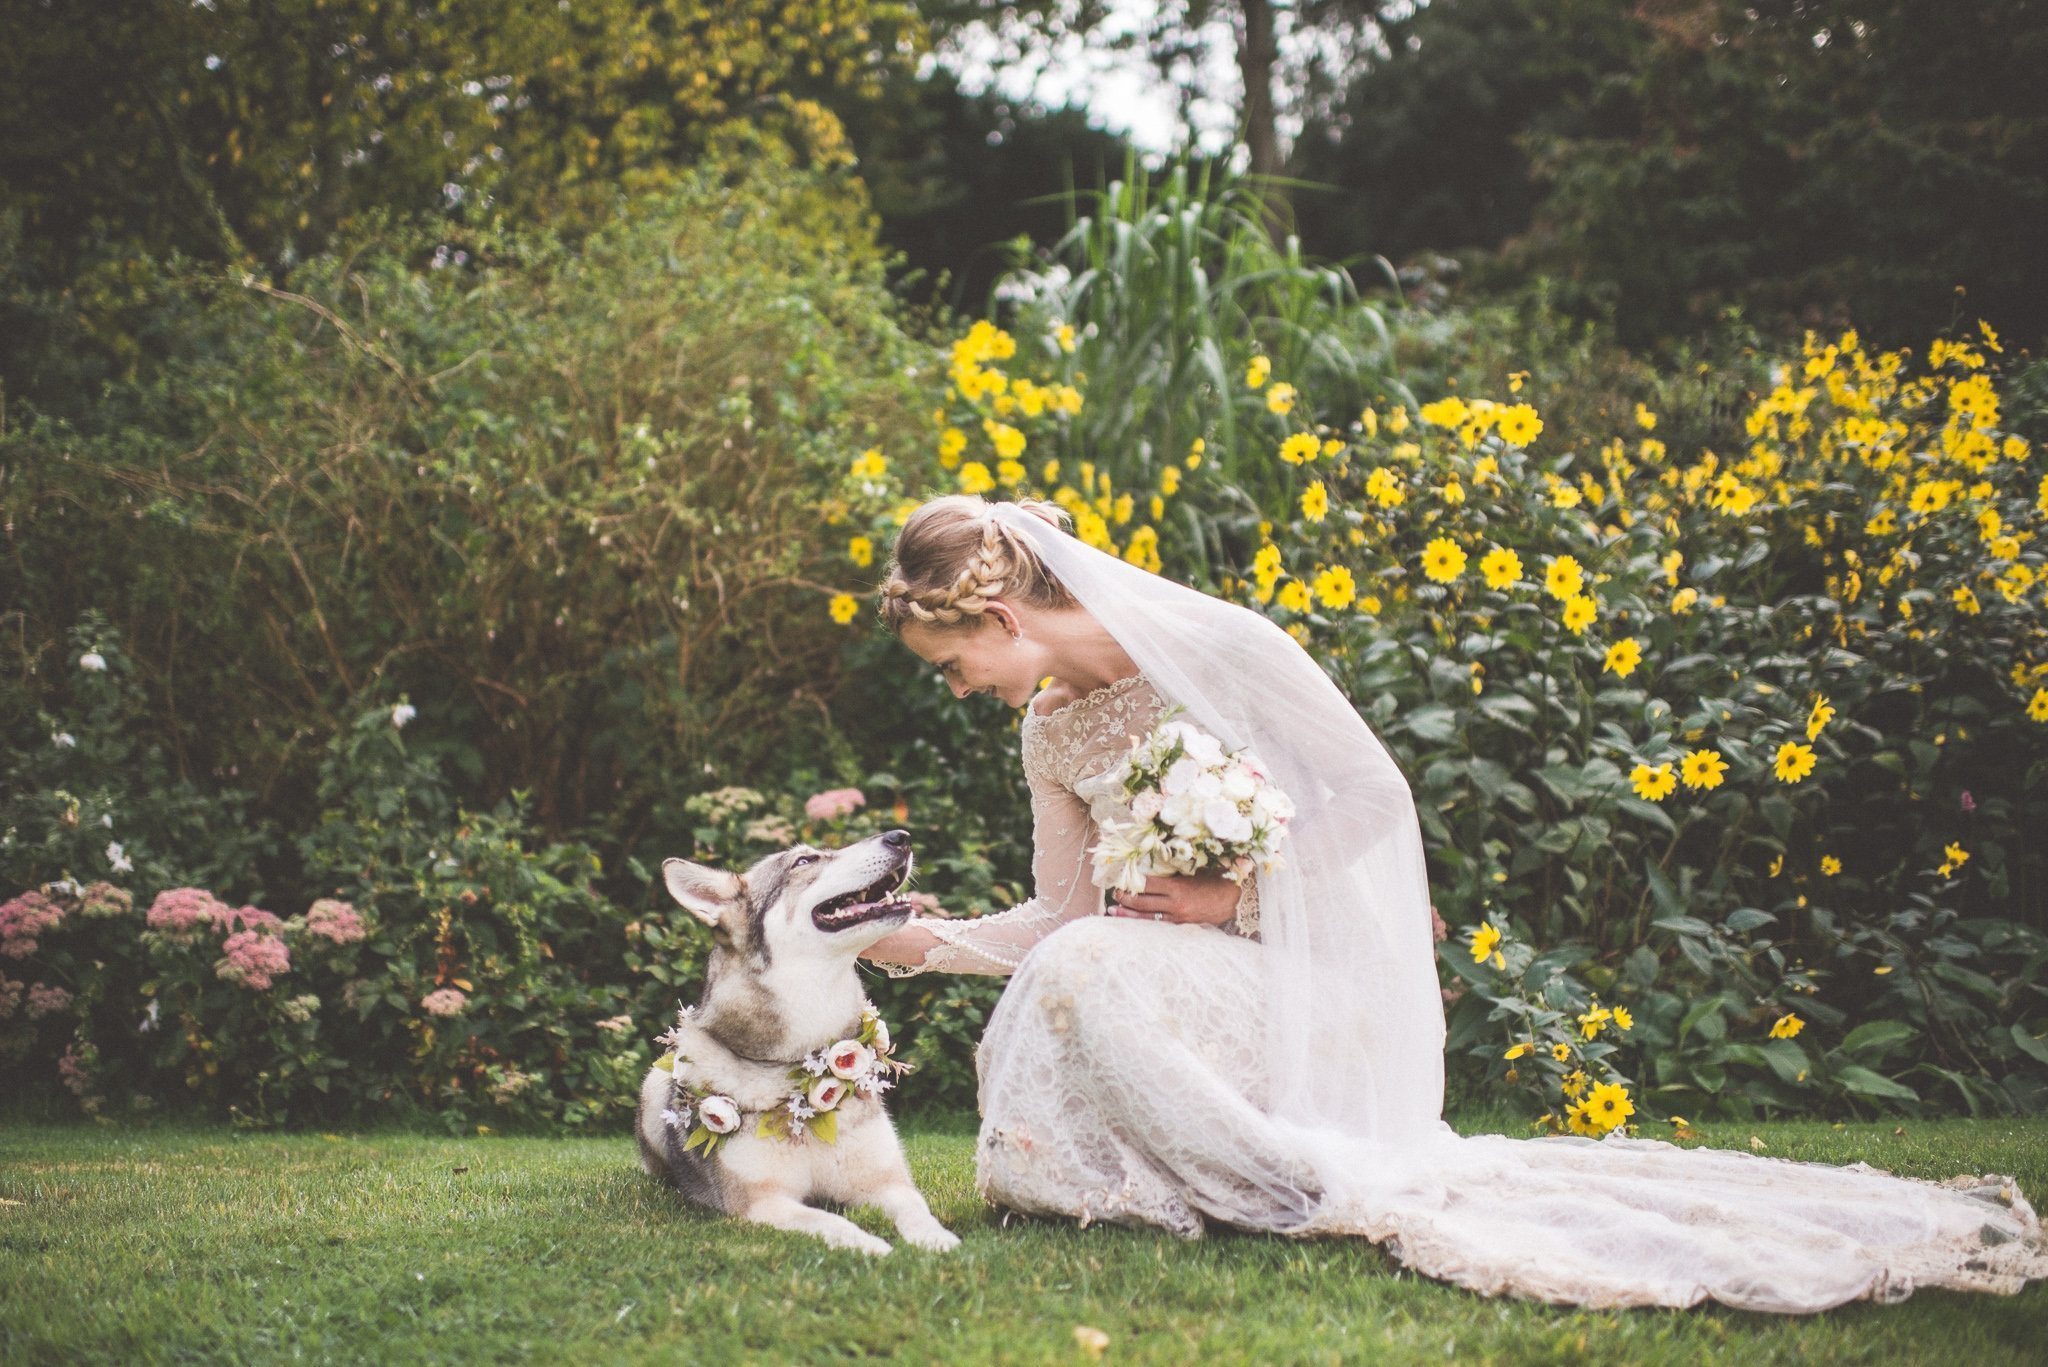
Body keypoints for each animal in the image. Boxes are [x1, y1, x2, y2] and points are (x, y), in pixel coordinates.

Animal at [630, 827, 958, 1254]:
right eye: (805, 861)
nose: (900, 836)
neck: (804, 1062)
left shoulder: (888, 1182)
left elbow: (916, 1210)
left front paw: (937, 1241)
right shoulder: (764, 1203)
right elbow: (833, 1222)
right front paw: (874, 1248)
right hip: (654, 1087)